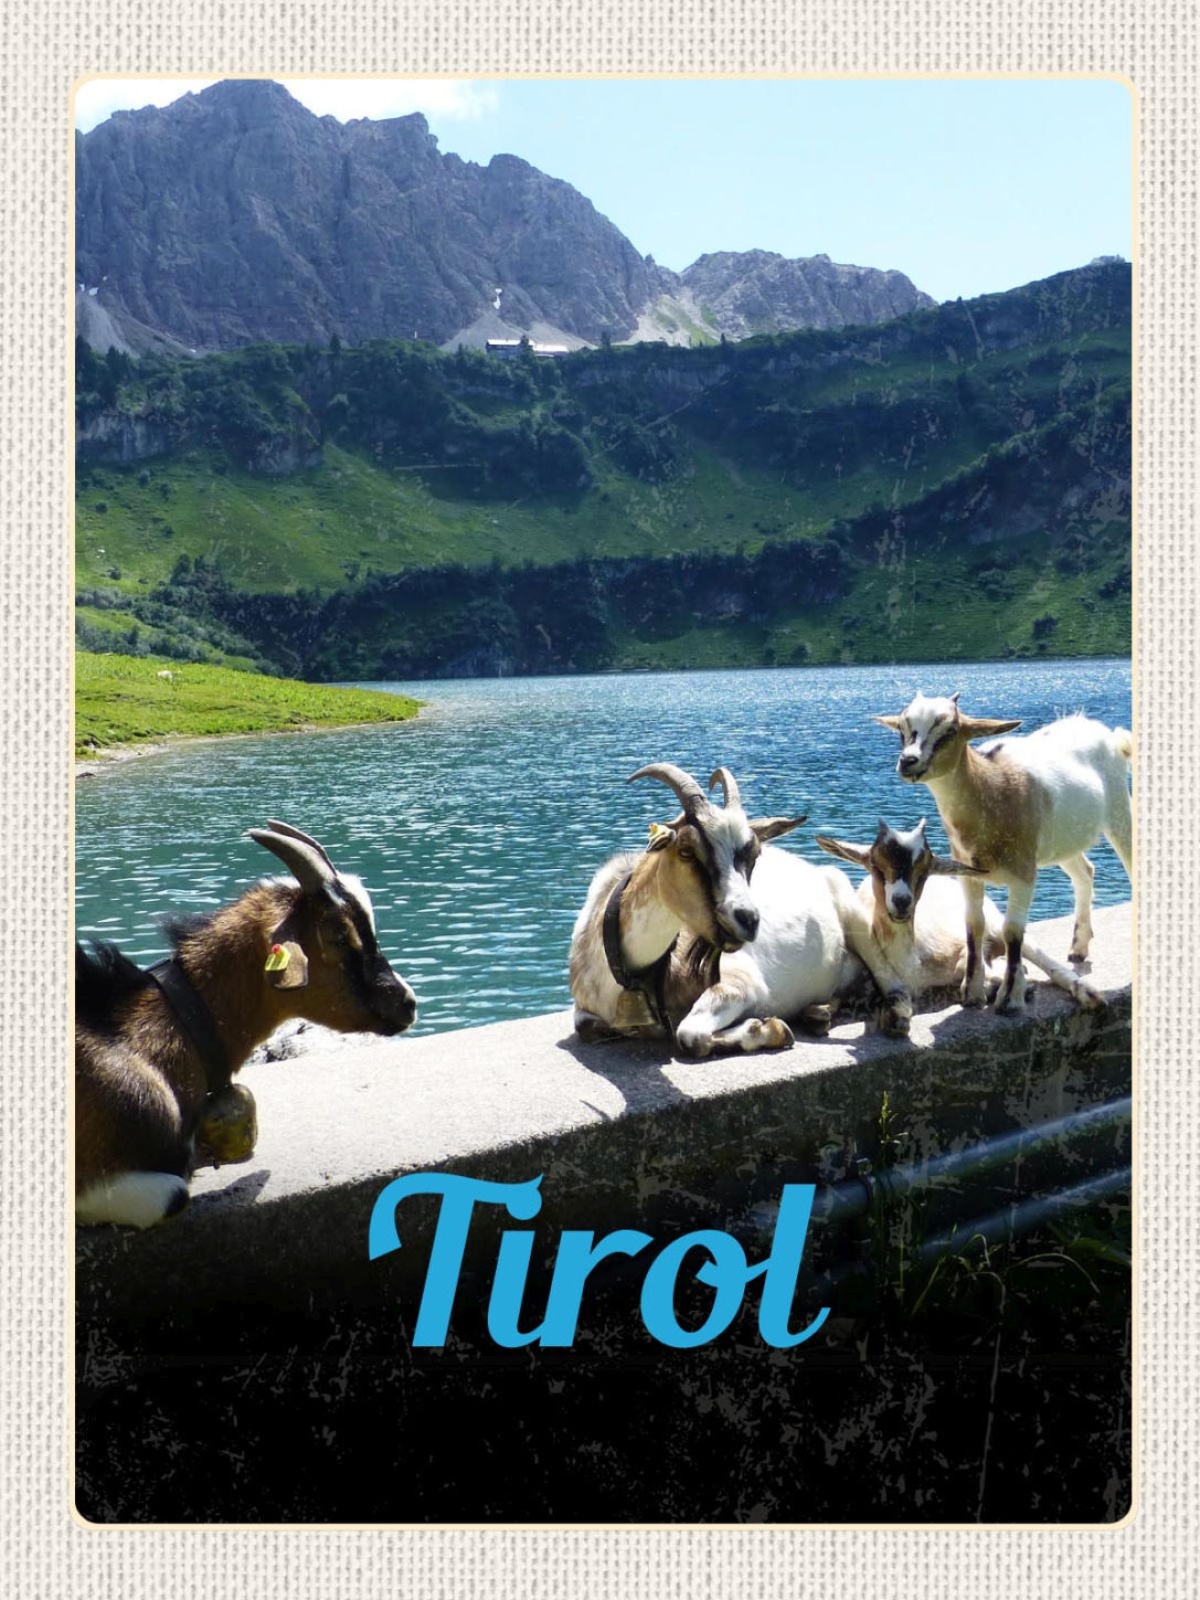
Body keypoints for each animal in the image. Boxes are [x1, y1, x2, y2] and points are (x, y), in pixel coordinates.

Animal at [817, 817, 1103, 1033]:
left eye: (924, 871)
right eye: (875, 865)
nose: (901, 901)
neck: (911, 964)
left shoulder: (957, 945)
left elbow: (972, 965)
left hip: (995, 920)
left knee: (1041, 957)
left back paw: (1087, 993)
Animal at [873, 693, 1132, 1012]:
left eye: (949, 732)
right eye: (902, 729)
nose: (908, 761)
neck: (989, 787)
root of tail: (1105, 732)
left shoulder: (1023, 872)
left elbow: (1012, 931)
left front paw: (1009, 998)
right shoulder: (967, 872)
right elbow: (974, 925)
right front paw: (972, 993)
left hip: (1119, 808)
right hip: (1063, 839)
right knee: (1084, 872)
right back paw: (1078, 948)